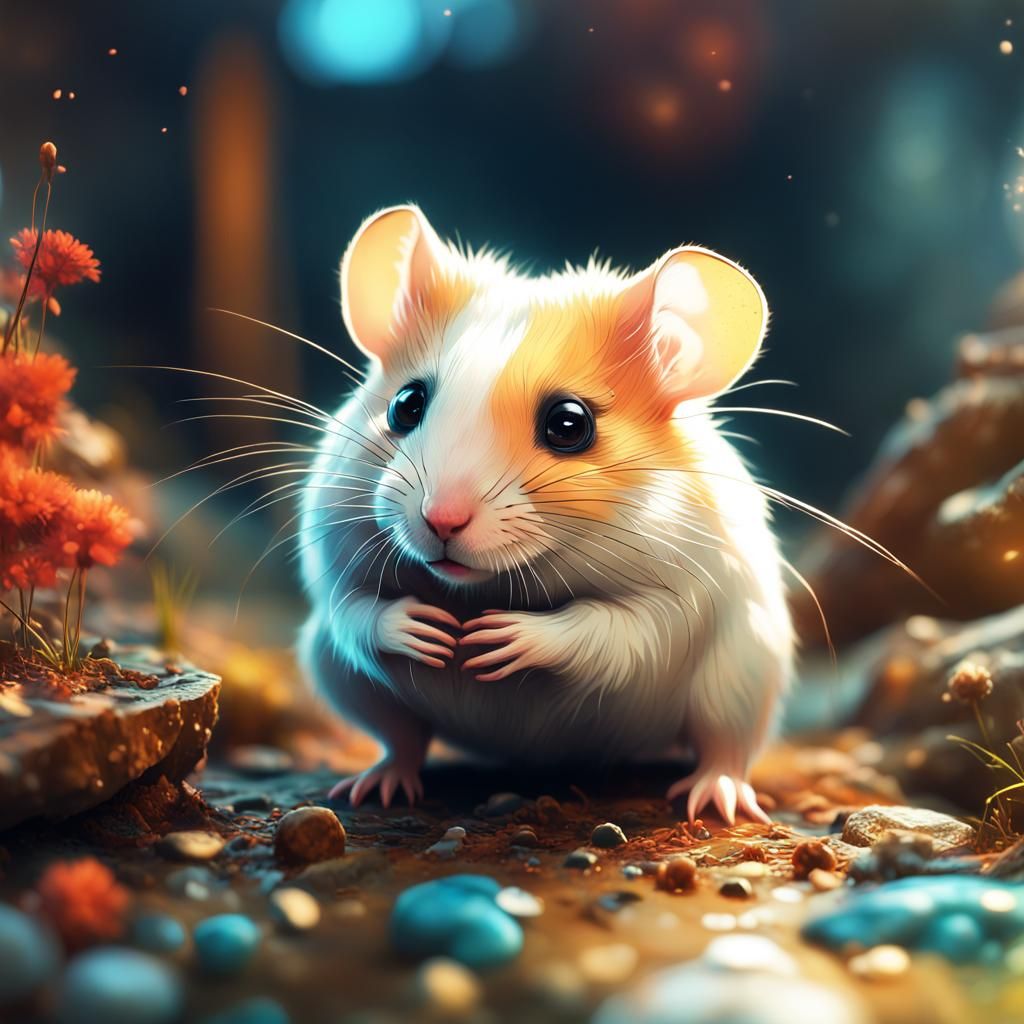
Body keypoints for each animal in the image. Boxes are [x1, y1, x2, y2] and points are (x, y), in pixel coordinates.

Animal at [297, 205, 793, 824]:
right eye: (405, 405)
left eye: (569, 424)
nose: (442, 521)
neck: (487, 583)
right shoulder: (332, 570)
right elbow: (357, 613)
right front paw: (424, 629)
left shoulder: (674, 602)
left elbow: (611, 629)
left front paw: (503, 638)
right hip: (341, 678)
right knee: (401, 739)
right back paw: (379, 783)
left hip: (744, 675)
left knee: (726, 747)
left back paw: (717, 798)